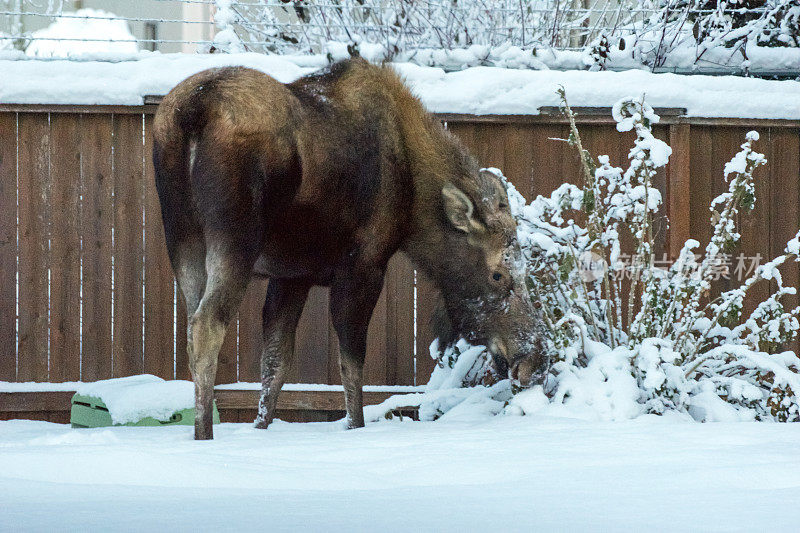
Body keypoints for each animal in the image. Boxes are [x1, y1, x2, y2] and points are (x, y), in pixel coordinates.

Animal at [153, 59, 548, 440]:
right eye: (498, 274)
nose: (536, 360)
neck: (413, 200)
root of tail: (193, 111)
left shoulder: (292, 276)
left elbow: (276, 363)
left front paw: (261, 429)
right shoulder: (364, 266)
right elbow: (352, 364)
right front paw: (354, 429)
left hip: (182, 237)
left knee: (191, 324)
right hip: (235, 239)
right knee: (207, 326)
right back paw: (204, 434)